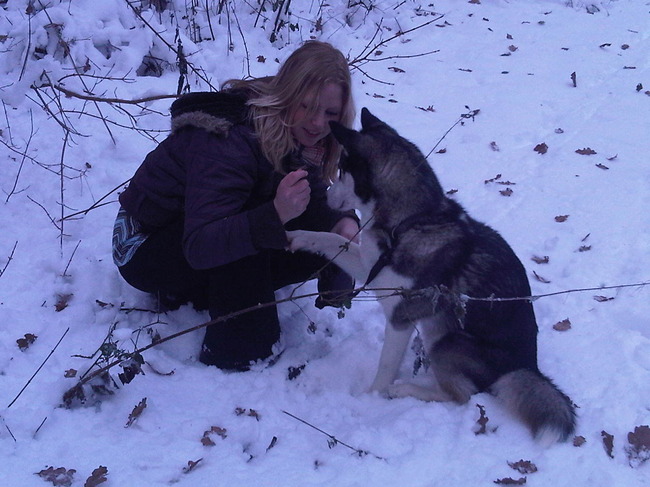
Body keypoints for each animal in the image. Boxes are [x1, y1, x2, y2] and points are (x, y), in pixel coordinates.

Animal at [287, 108, 576, 443]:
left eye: (343, 170)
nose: (325, 193)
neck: (408, 222)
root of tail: (526, 365)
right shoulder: (371, 268)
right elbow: (331, 239)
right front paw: (295, 235)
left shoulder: (400, 317)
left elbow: (385, 368)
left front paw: (371, 398)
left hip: (445, 342)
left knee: (462, 395)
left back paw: (405, 390)